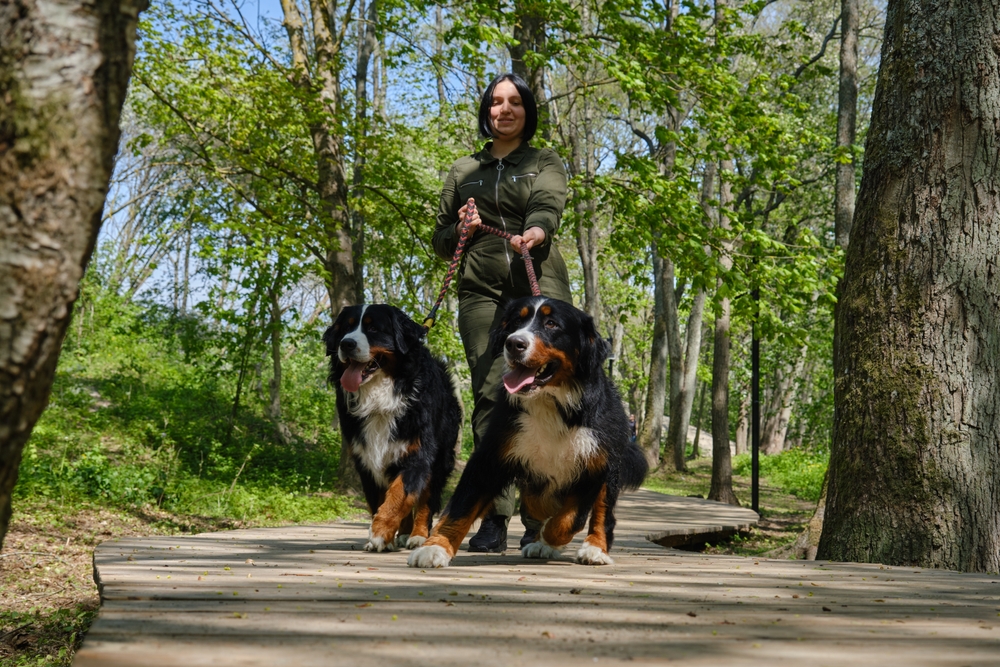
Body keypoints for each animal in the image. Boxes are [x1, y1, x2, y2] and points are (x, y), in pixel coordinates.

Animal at [324, 306, 460, 552]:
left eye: (373, 328)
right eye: (346, 327)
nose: (346, 344)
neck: (380, 398)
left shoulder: (416, 453)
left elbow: (398, 495)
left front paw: (379, 534)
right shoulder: (366, 459)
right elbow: (379, 501)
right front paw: (382, 537)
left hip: (440, 457)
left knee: (426, 499)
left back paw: (417, 536)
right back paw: (404, 533)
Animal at [408, 298, 648, 568]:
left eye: (552, 324)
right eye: (516, 322)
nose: (514, 343)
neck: (550, 402)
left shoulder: (593, 466)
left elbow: (568, 520)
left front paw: (547, 540)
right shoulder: (492, 455)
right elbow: (462, 506)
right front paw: (435, 547)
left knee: (601, 513)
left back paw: (594, 548)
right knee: (537, 503)